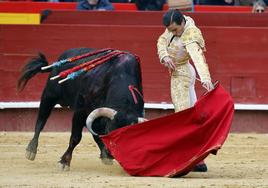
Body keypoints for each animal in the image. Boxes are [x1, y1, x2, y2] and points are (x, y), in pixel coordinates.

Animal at [17, 47, 146, 170]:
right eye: (109, 130)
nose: (111, 154)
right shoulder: (80, 111)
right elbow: (75, 137)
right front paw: (64, 162)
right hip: (49, 95)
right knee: (41, 120)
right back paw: (31, 150)